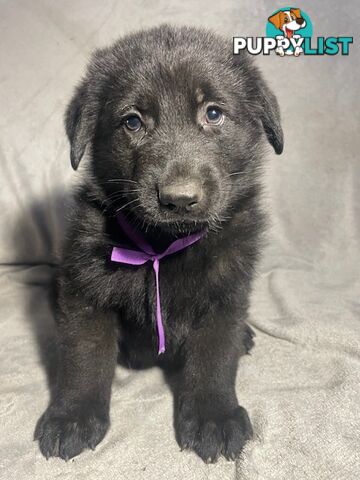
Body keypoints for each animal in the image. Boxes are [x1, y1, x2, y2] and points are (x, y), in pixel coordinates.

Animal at [33, 24, 282, 464]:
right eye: (133, 122)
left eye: (213, 113)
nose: (178, 198)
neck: (164, 246)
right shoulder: (83, 293)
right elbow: (84, 356)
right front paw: (72, 417)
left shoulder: (226, 294)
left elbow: (214, 356)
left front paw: (214, 416)